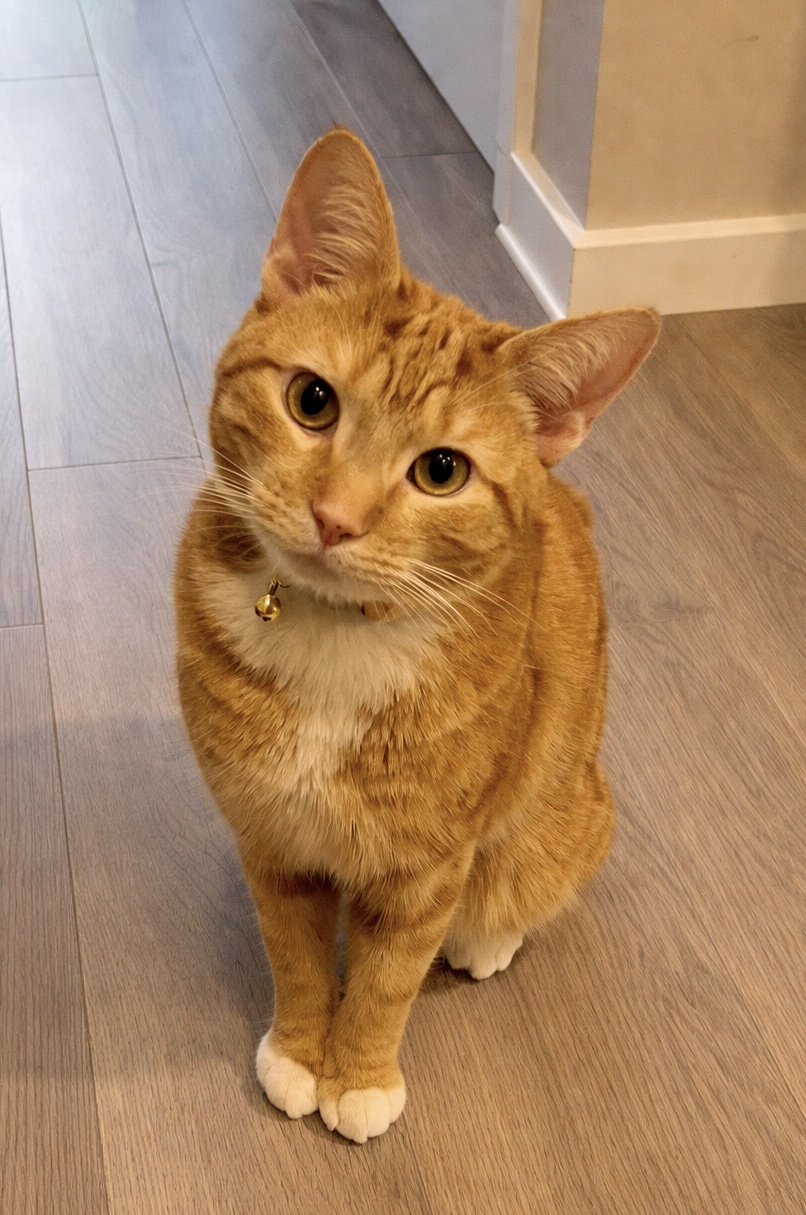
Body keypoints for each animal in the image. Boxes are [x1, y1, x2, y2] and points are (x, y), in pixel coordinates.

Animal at [174, 128, 659, 1143]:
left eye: (442, 470)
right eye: (312, 401)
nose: (336, 518)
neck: (335, 639)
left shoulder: (427, 867)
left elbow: (387, 979)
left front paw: (357, 1074)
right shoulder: (274, 840)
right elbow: (297, 957)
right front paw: (299, 1049)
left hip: (555, 821)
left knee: (521, 886)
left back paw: (489, 938)